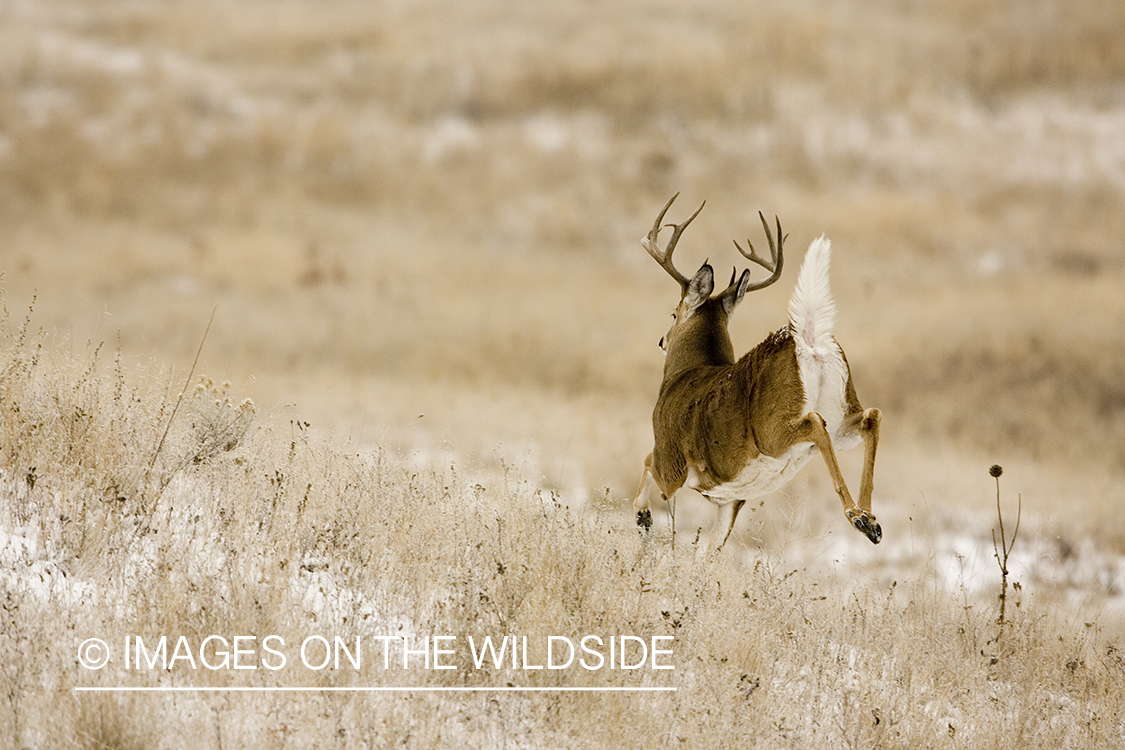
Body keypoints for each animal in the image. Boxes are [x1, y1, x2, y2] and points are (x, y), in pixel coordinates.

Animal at [634, 193, 877, 550]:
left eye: (673, 313)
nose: (662, 341)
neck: (683, 374)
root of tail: (805, 339)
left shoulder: (671, 460)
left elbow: (647, 462)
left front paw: (644, 519)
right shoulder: (730, 498)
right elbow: (710, 550)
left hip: (774, 431)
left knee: (814, 423)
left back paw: (857, 516)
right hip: (842, 417)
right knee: (871, 416)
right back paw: (871, 520)